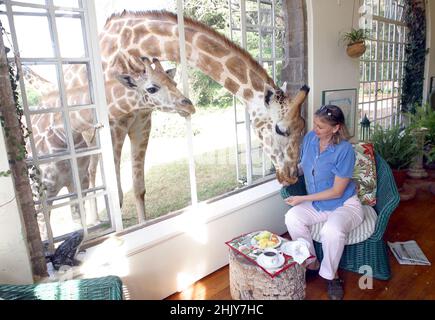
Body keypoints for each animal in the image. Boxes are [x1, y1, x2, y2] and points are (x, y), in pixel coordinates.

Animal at [27, 55, 196, 226]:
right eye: (151, 89)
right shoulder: (114, 133)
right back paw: (95, 220)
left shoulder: (141, 128)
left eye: (174, 83)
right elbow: (117, 195)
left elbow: (139, 188)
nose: (189, 107)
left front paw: (143, 223)